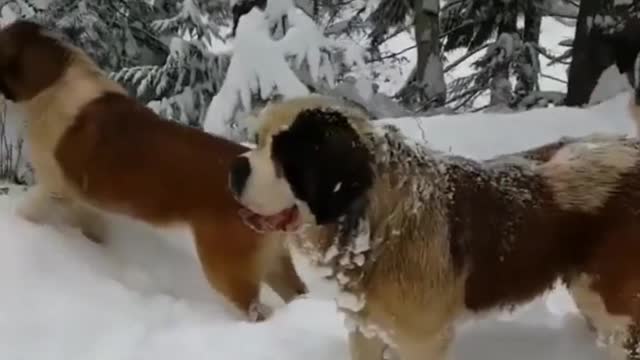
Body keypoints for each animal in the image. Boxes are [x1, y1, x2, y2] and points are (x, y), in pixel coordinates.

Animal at [0, 19, 308, 320]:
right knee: (298, 293)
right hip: (274, 262)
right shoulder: (83, 203)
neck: (54, 82)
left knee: (256, 310)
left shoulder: (54, 187)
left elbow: (28, 210)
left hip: (225, 267)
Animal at [231, 94, 640, 358]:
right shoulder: (365, 329)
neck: (377, 221)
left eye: (286, 155)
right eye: (257, 140)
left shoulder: (422, 341)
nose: (235, 168)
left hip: (610, 304)